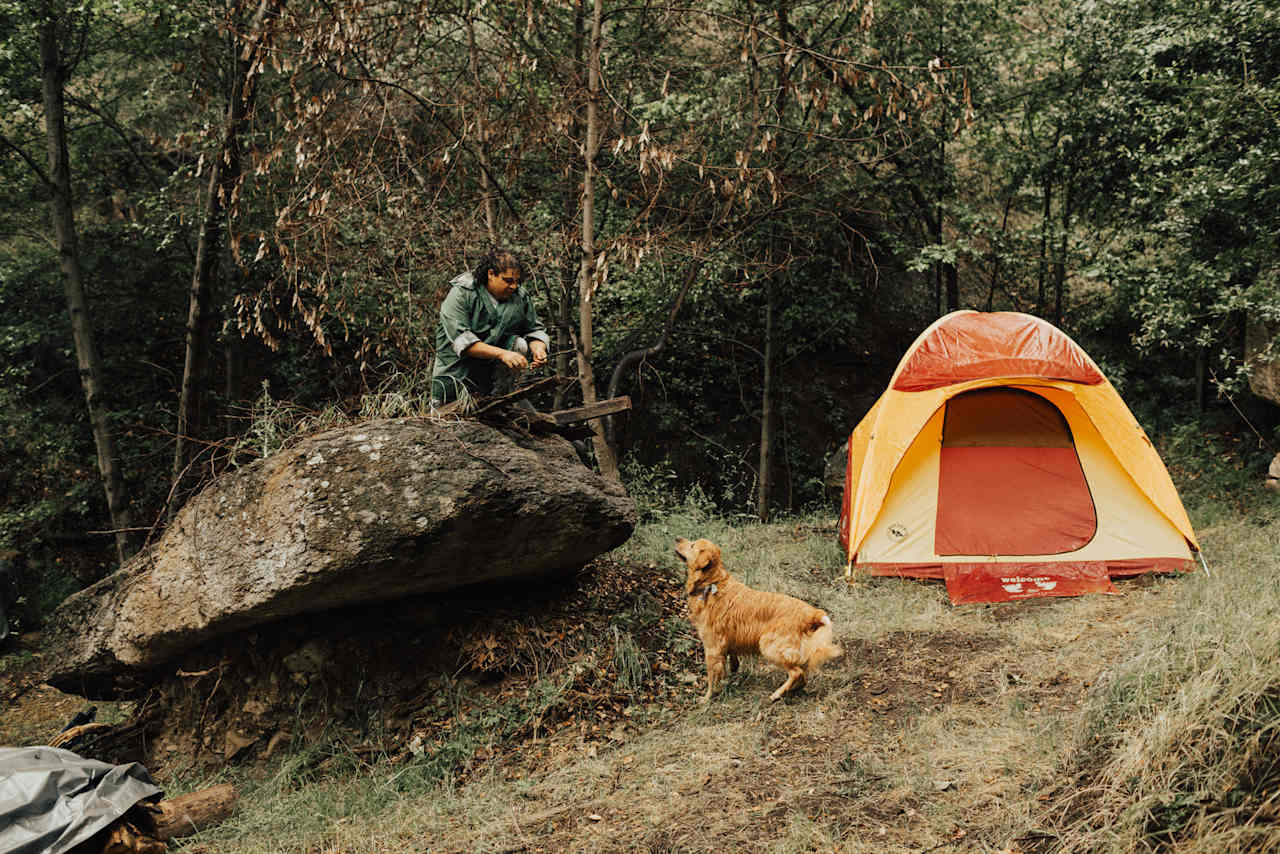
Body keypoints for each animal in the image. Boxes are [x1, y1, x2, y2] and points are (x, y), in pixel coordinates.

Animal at [675, 537, 844, 706]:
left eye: (692, 545)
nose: (677, 539)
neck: (711, 583)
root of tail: (813, 613)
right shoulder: (728, 642)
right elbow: (731, 662)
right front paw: (732, 676)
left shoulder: (712, 648)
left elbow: (712, 677)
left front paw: (707, 698)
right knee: (803, 675)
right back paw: (792, 690)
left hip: (769, 646)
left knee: (797, 672)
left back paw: (776, 694)